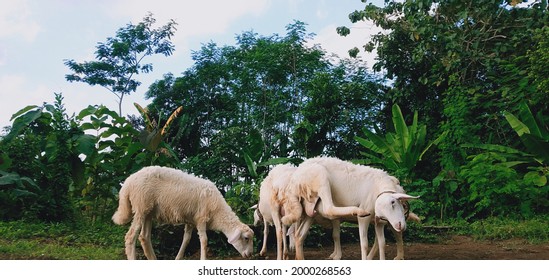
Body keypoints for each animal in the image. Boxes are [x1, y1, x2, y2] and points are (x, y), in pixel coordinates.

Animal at [113, 166, 256, 260]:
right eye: (246, 238)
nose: (250, 255)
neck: (218, 213)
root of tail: (127, 183)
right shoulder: (201, 218)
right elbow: (204, 240)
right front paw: (203, 259)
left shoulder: (191, 221)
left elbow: (186, 240)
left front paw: (178, 258)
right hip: (141, 207)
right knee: (131, 237)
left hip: (148, 212)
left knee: (144, 237)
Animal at [280, 158, 418, 260]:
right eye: (393, 202)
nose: (401, 224)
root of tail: (294, 180)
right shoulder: (366, 219)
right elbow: (364, 244)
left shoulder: (380, 220)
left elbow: (382, 243)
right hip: (320, 177)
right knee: (329, 209)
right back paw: (357, 211)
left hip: (310, 210)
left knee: (299, 235)